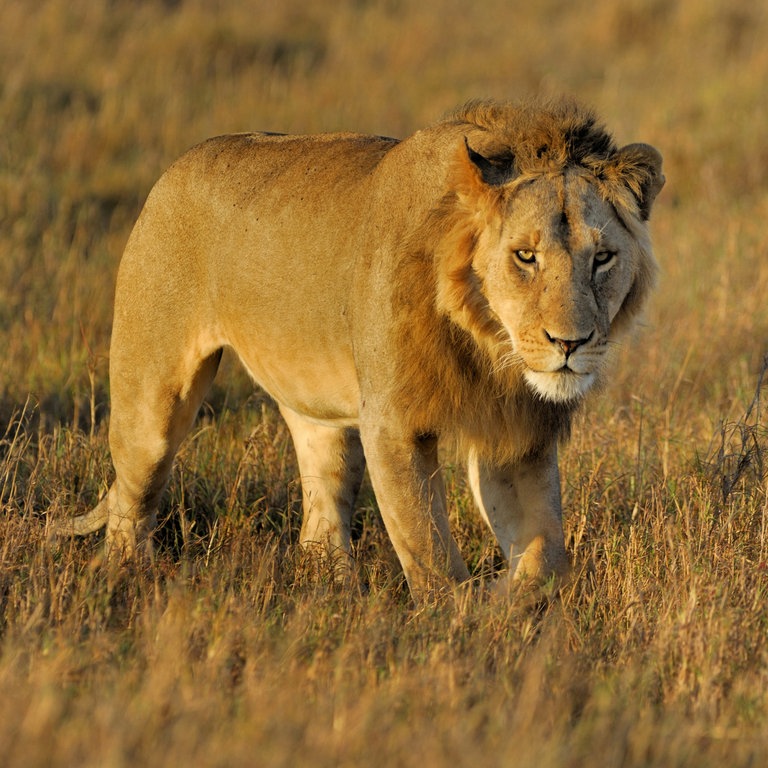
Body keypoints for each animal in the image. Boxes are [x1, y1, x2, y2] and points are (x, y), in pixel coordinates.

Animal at [55, 97, 664, 600]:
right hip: (151, 399)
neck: (491, 349)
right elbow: (430, 551)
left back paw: (330, 589)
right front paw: (459, 625)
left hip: (319, 416)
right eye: (526, 256)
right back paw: (126, 580)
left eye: (602, 258)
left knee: (321, 515)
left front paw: (507, 603)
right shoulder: (394, 422)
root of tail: (174, 168)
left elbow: (547, 557)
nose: (570, 343)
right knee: (131, 504)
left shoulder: (516, 433)